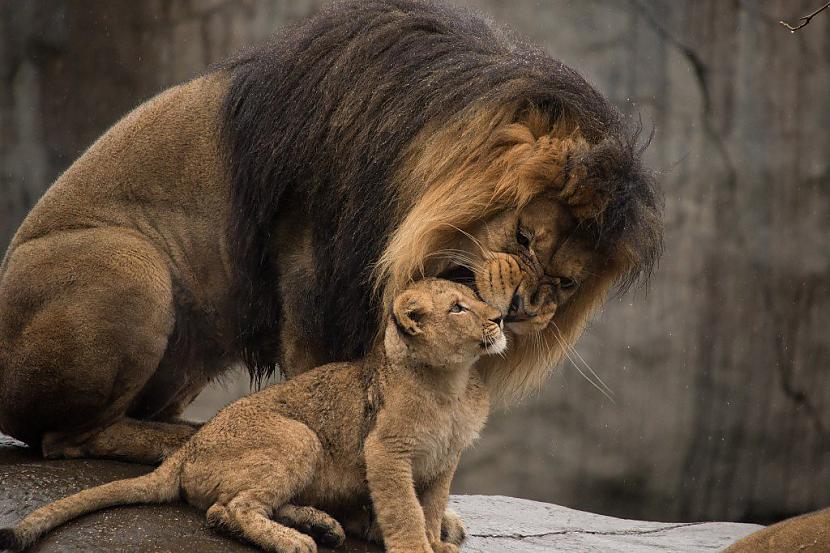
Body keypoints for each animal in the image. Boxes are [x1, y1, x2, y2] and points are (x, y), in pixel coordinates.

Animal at [0, 2, 664, 464]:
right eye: (524, 238)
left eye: (566, 283)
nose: (527, 308)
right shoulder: (310, 274)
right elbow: (323, 377)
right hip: (128, 263)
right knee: (64, 438)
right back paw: (188, 440)